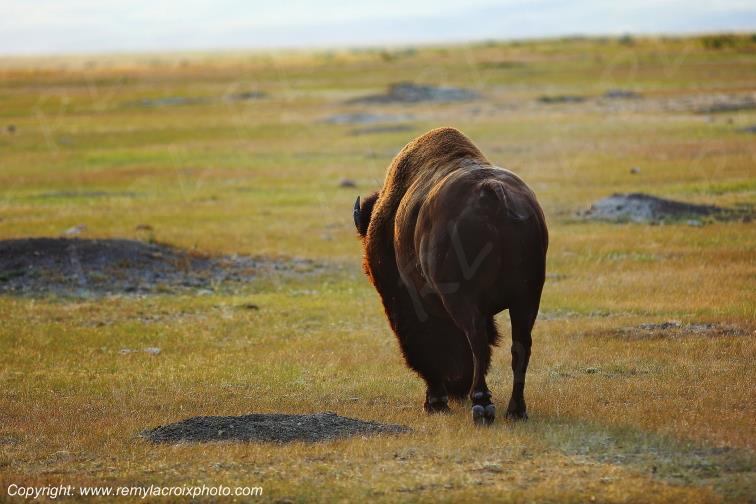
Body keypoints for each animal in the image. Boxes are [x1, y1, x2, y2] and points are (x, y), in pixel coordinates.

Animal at [354, 127, 548, 425]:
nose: (457, 387)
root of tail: (493, 192)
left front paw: (434, 402)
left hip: (464, 301)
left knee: (477, 342)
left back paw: (481, 405)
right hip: (526, 299)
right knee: (520, 347)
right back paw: (516, 410)